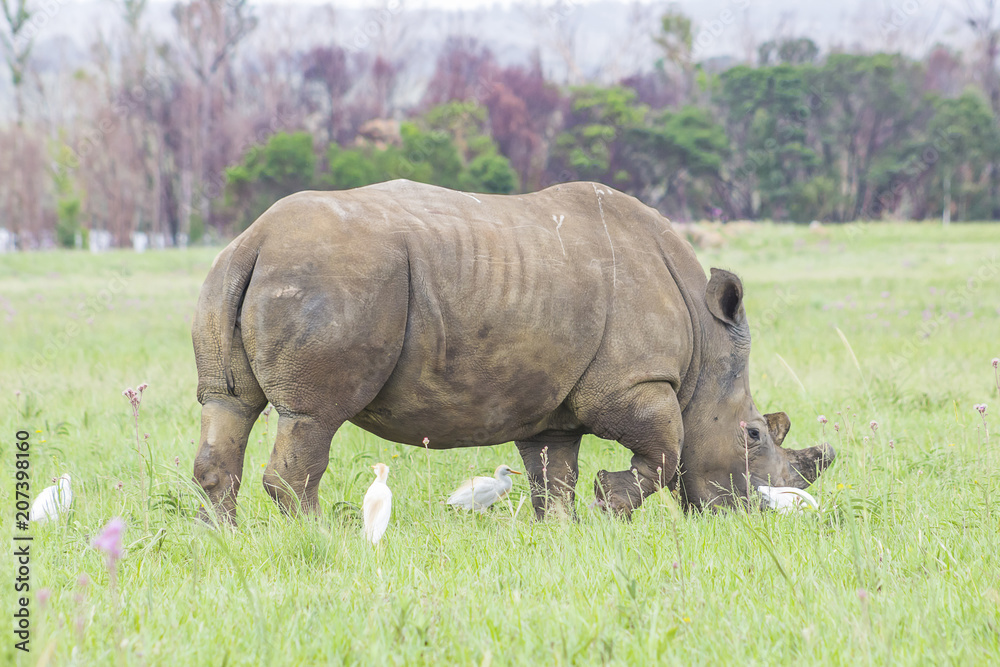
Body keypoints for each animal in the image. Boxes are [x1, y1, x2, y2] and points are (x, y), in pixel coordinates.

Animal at [192, 180, 834, 523]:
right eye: (753, 435)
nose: (765, 510)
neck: (706, 350)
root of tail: (255, 237)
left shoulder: (553, 407)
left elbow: (554, 474)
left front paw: (566, 530)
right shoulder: (634, 383)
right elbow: (666, 450)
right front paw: (609, 506)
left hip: (235, 275)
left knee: (228, 406)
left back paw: (222, 539)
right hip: (331, 278)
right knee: (312, 418)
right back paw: (321, 536)